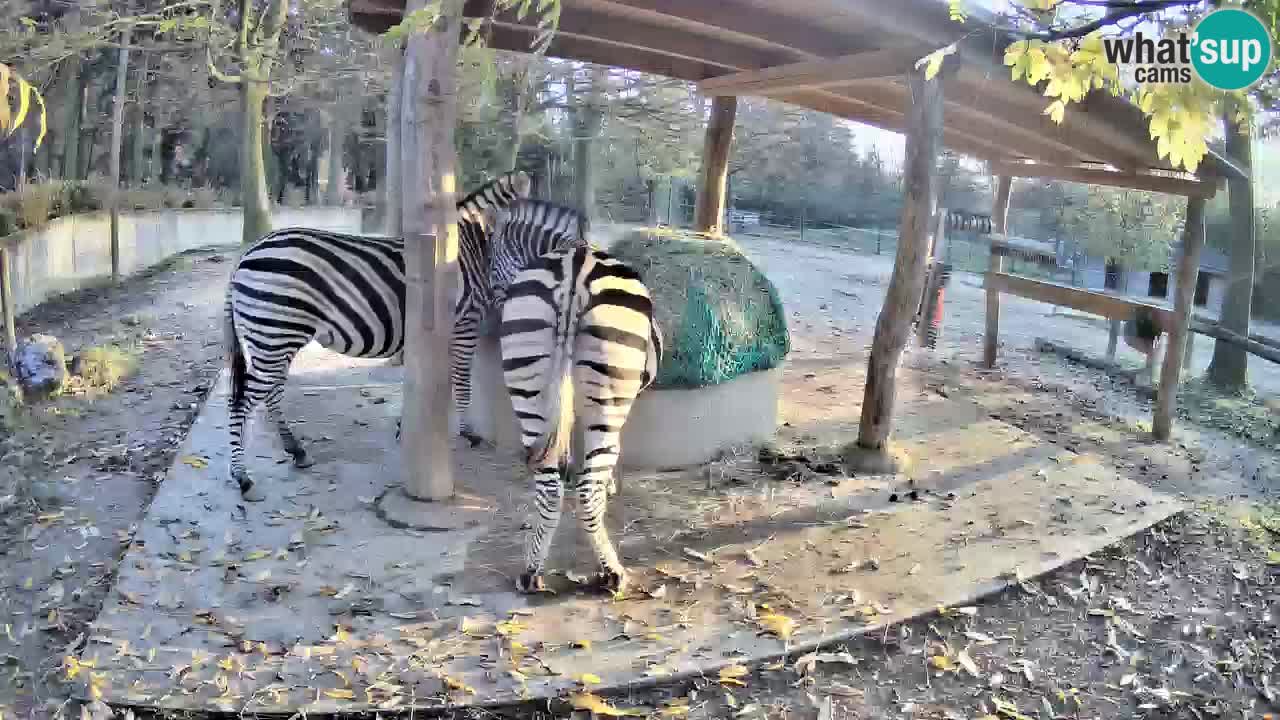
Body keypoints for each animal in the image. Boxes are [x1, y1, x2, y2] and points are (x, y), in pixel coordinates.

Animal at [224, 172, 530, 501]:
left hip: (275, 338)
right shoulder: (464, 323)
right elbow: (460, 379)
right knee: (242, 401)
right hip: (274, 333)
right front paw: (469, 432)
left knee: (271, 391)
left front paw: (404, 428)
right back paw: (243, 478)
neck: (471, 246)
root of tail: (247, 253)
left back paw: (296, 451)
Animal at [498, 243, 664, 596]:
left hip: (529, 388)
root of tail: (577, 263)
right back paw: (612, 573)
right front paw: (608, 483)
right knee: (590, 488)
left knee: (549, 488)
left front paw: (571, 468)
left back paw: (531, 572)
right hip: (608, 401)